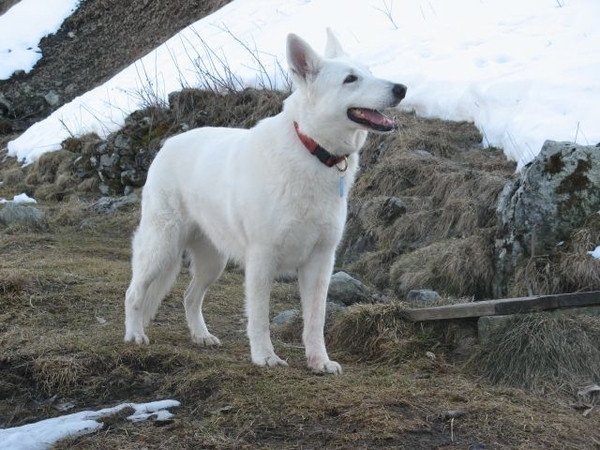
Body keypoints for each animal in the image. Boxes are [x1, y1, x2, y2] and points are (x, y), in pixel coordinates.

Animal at [126, 29, 408, 374]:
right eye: (350, 79)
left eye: (369, 71)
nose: (401, 88)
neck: (312, 150)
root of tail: (167, 143)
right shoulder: (262, 259)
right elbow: (259, 316)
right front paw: (265, 356)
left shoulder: (320, 262)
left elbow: (315, 320)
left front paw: (319, 361)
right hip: (161, 248)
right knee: (134, 293)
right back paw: (134, 334)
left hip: (213, 262)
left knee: (190, 297)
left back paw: (201, 335)